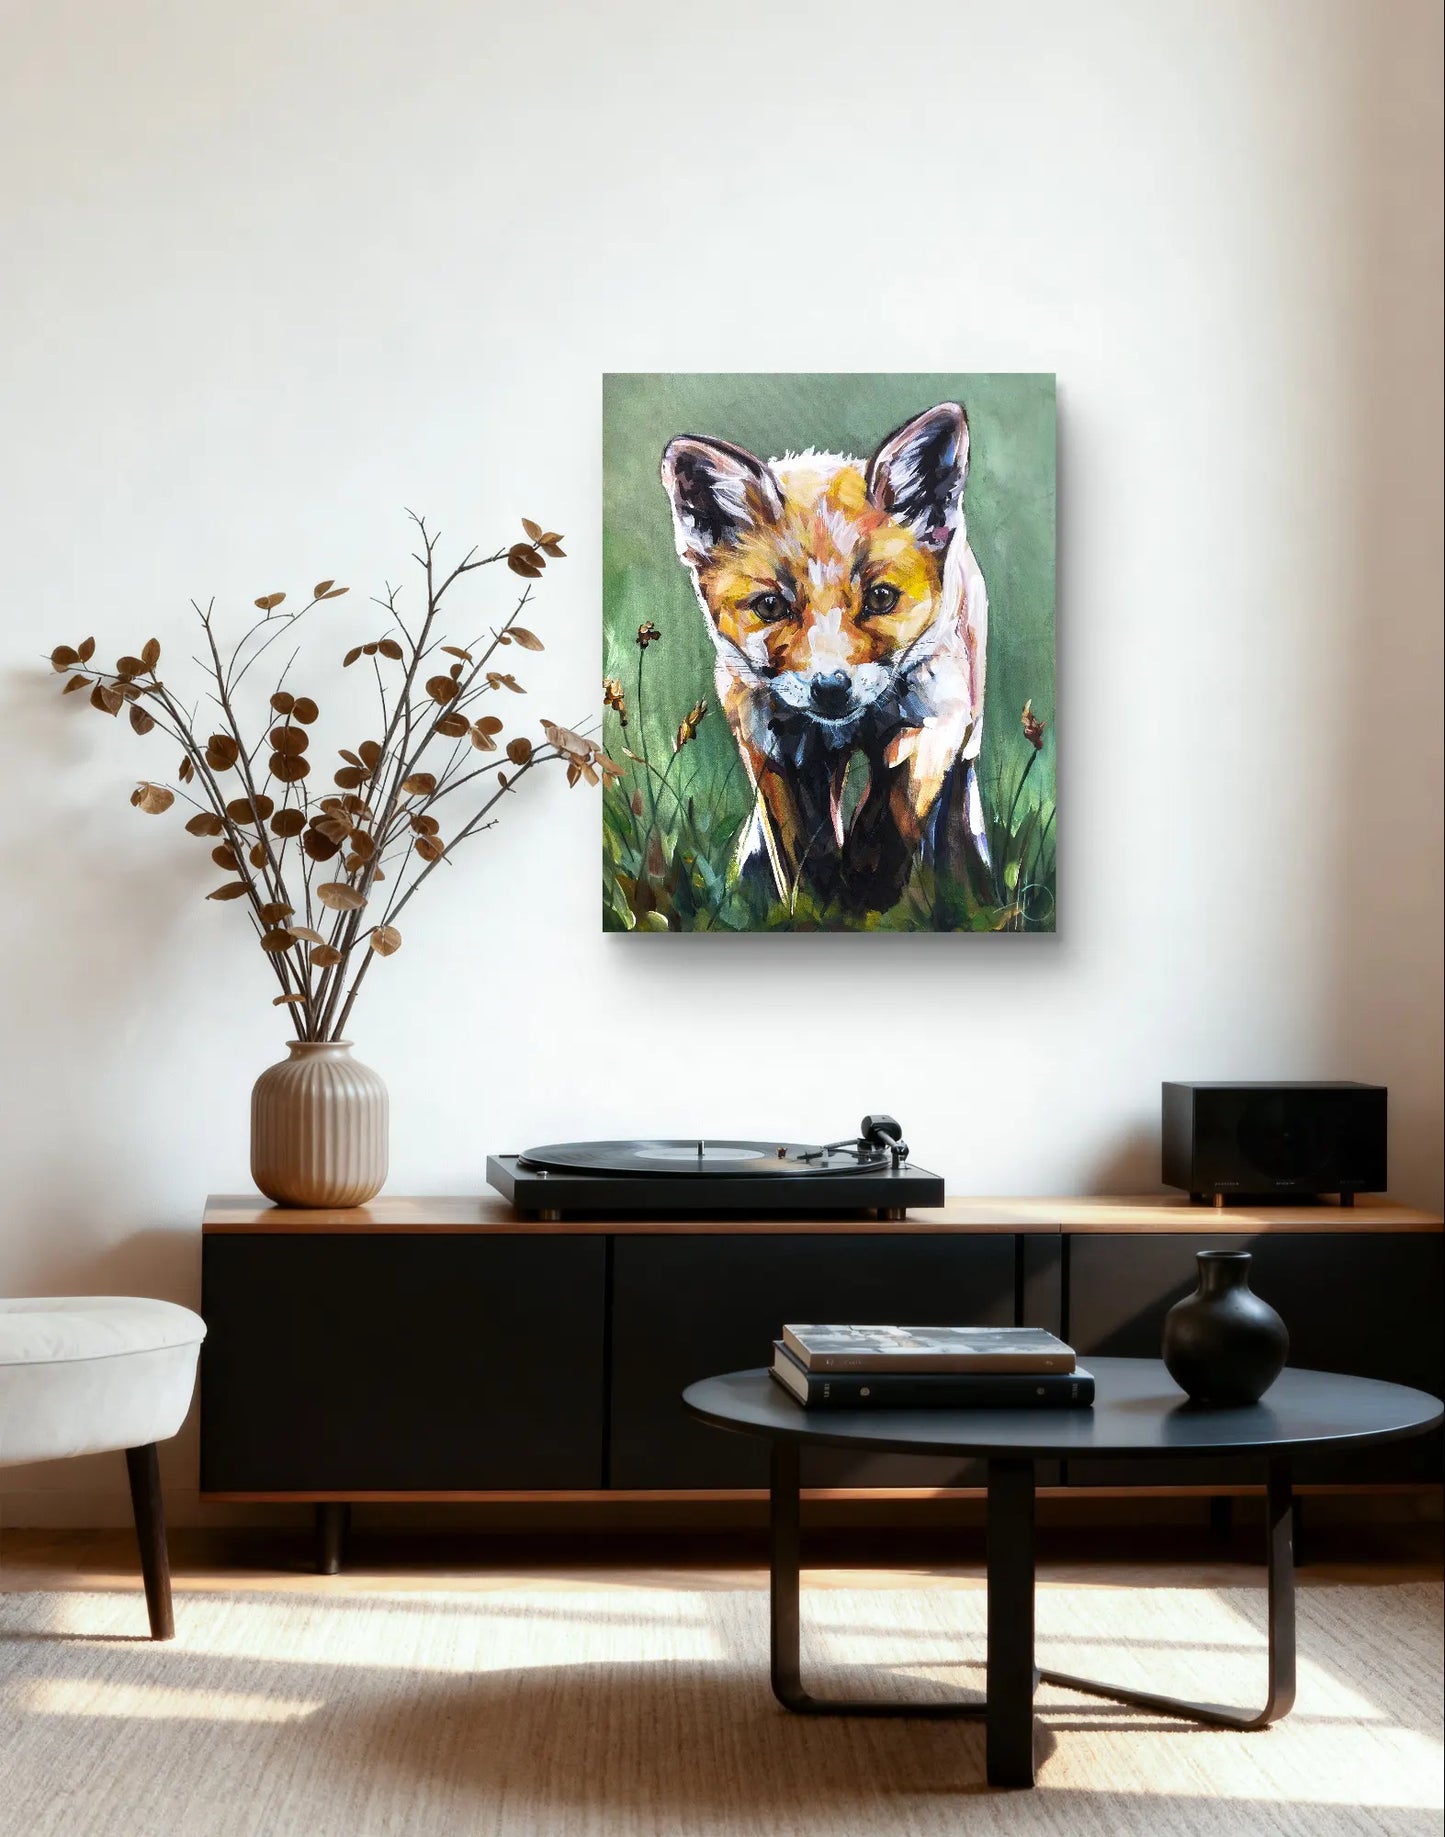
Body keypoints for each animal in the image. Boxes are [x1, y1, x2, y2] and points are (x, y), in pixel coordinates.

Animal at [660, 401, 990, 914]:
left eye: (880, 598)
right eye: (770, 607)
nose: (831, 689)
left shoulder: (933, 717)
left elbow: (889, 818)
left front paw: (867, 897)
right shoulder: (771, 742)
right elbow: (801, 851)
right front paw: (820, 908)